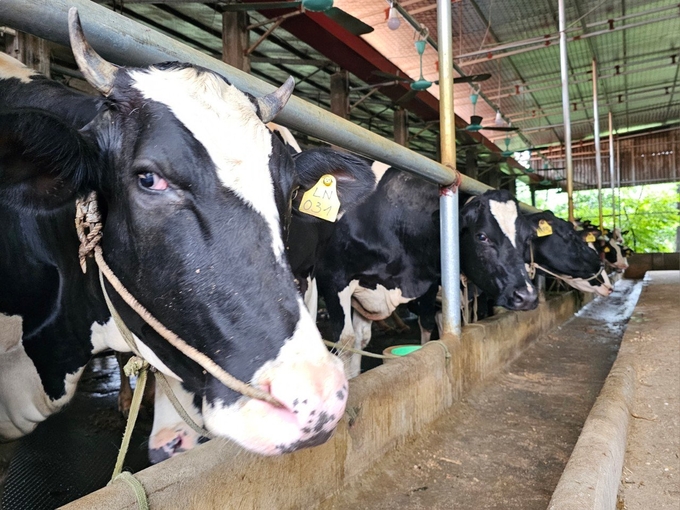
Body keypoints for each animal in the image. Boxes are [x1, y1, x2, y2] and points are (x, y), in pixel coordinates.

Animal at [314, 169, 536, 376]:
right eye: (482, 236)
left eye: (528, 238)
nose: (527, 296)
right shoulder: (333, 278)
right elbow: (346, 341)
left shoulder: (422, 285)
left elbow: (423, 326)